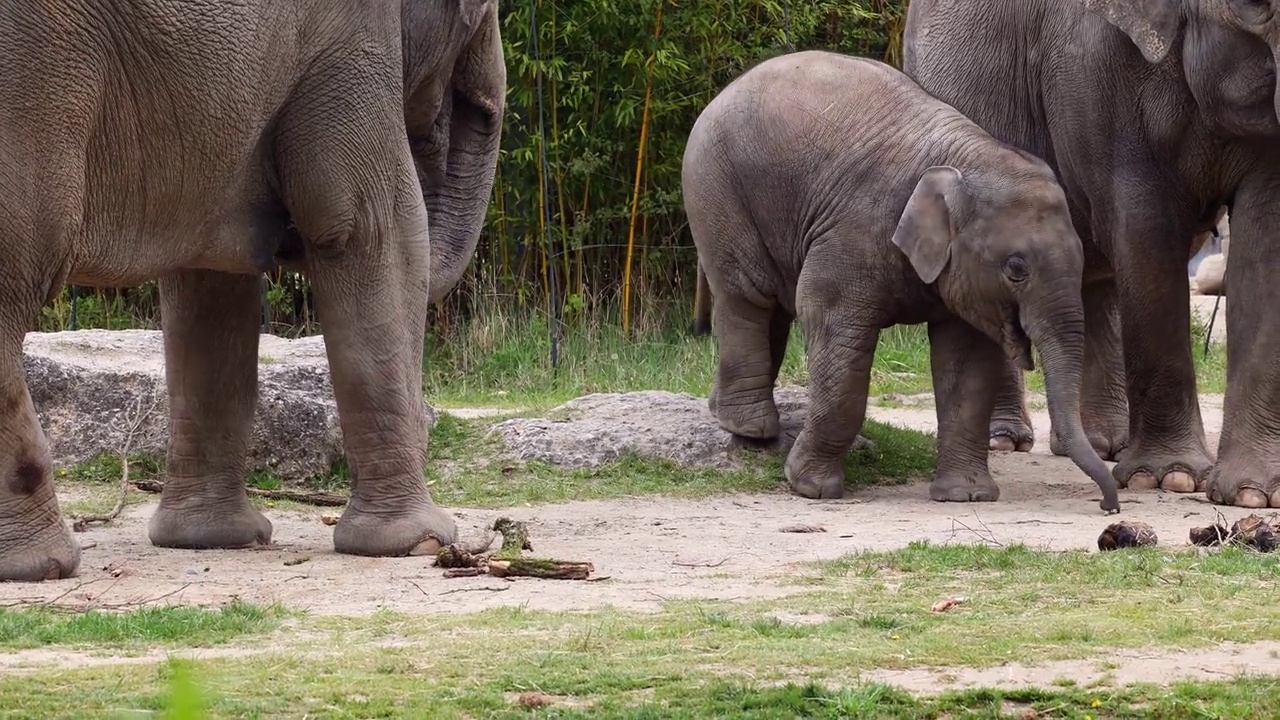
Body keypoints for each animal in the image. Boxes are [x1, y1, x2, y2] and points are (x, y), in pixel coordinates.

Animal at [1, 0, 509, 579]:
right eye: (481, 11)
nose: (283, 239)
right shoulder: (349, 36)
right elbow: (377, 232)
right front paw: (421, 542)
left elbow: (211, 279)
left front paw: (210, 540)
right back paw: (44, 565)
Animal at [686, 50, 1116, 509]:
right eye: (1016, 268)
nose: (1107, 506)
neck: (967, 158)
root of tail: (721, 93)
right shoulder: (853, 231)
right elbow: (834, 330)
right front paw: (812, 489)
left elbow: (966, 362)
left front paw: (965, 497)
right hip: (716, 190)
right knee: (747, 297)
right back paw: (751, 429)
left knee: (772, 310)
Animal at [901, 0, 1280, 504]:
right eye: (1257, 8)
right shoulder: (1095, 65)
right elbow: (1145, 230)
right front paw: (1170, 477)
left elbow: (1266, 240)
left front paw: (1253, 494)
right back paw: (1006, 440)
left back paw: (1105, 446)